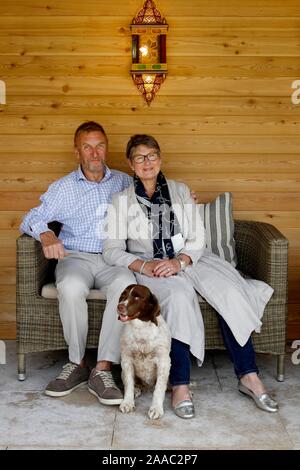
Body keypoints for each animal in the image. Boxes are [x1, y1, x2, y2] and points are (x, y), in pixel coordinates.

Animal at [117, 284, 171, 420]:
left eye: (137, 297)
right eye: (123, 295)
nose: (119, 306)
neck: (141, 328)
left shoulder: (164, 361)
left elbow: (159, 388)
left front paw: (156, 408)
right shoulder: (126, 359)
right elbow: (129, 383)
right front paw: (127, 402)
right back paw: (137, 390)